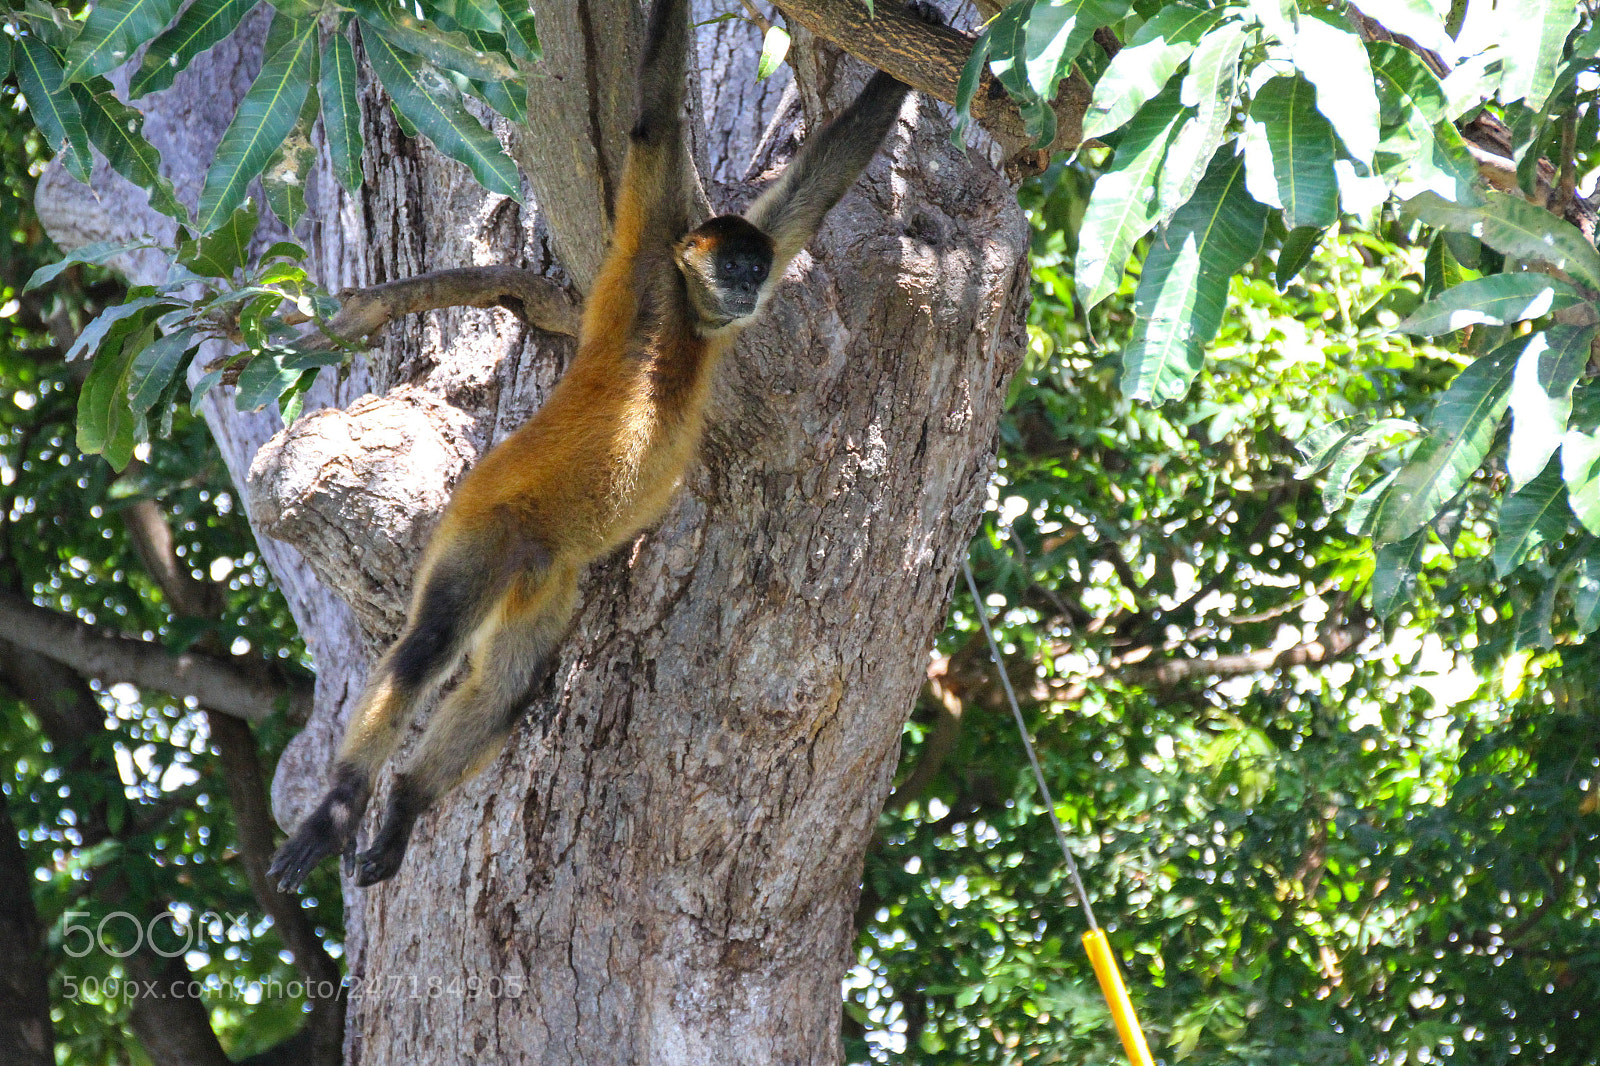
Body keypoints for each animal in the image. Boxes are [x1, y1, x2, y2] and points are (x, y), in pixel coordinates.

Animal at [268, 0, 942, 892]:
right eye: (733, 270)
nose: (750, 291)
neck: (685, 322)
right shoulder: (650, 244)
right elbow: (654, 122)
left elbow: (818, 183)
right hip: (488, 533)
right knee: (426, 648)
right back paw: (341, 806)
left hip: (544, 583)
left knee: (510, 685)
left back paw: (406, 803)